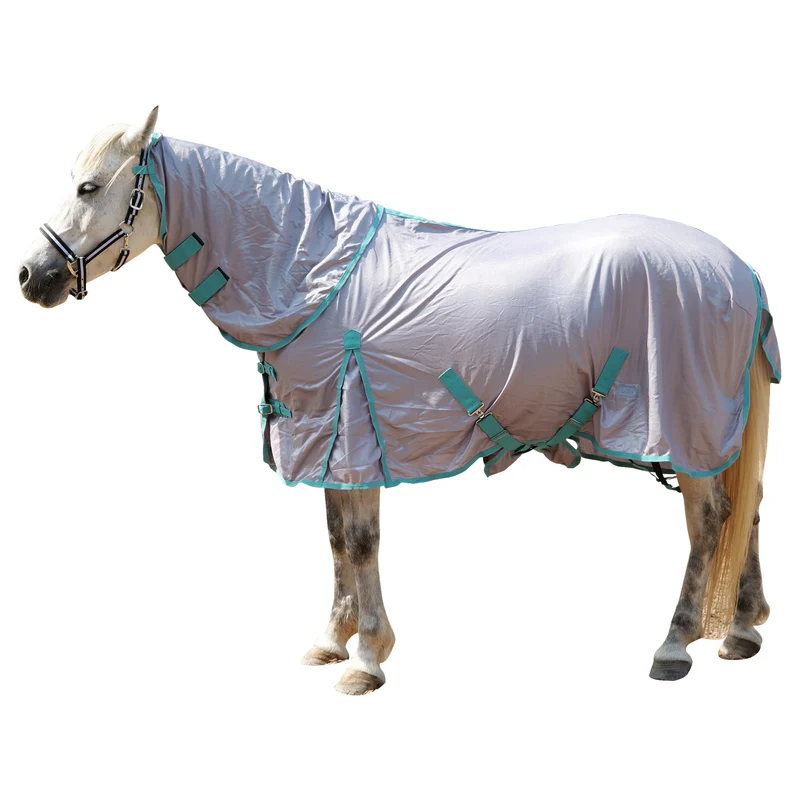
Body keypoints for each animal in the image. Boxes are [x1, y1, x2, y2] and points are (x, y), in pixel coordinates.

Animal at [18, 107, 781, 694]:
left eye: (89, 185)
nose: (32, 274)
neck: (310, 275)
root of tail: (738, 271)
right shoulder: (328, 437)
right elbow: (335, 539)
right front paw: (332, 640)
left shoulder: (354, 432)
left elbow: (360, 541)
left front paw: (366, 659)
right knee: (744, 509)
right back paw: (740, 630)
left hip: (683, 424)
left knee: (709, 520)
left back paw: (675, 645)